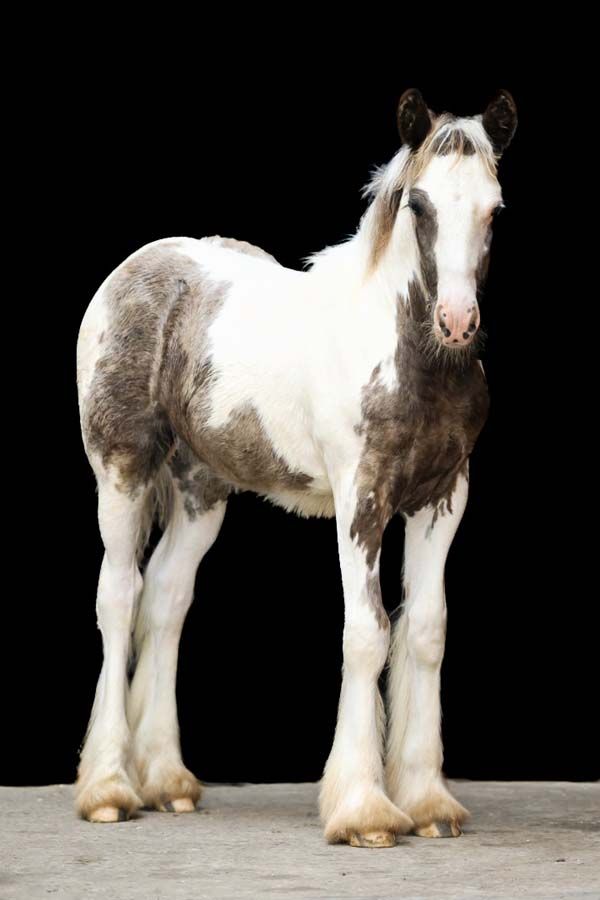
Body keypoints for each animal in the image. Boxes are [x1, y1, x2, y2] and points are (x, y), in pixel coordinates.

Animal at [75, 88, 517, 848]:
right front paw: (364, 810)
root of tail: (134, 271)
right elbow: (367, 633)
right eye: (419, 204)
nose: (457, 322)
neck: (411, 358)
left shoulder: (444, 498)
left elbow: (427, 632)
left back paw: (168, 781)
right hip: (121, 471)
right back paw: (108, 788)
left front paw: (428, 801)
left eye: (494, 209)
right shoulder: (362, 501)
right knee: (119, 597)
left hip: (201, 490)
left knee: (166, 599)